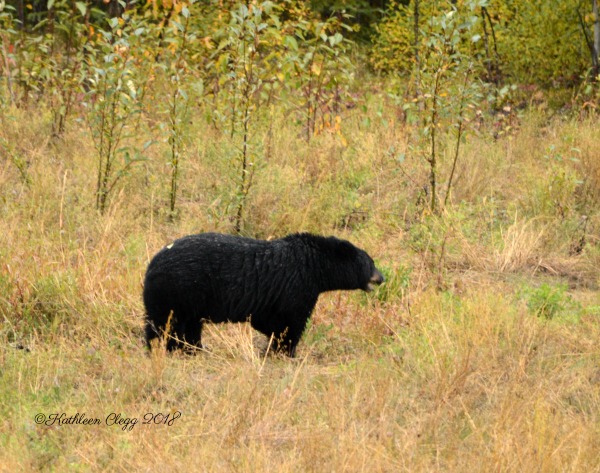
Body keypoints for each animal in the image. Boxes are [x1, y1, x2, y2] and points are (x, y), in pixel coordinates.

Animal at [143, 230, 382, 356]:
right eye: (371, 263)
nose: (382, 277)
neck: (314, 266)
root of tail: (151, 265)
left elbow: (268, 321)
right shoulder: (297, 287)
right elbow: (291, 322)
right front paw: (286, 350)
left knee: (186, 326)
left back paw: (193, 349)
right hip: (178, 290)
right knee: (164, 324)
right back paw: (161, 348)